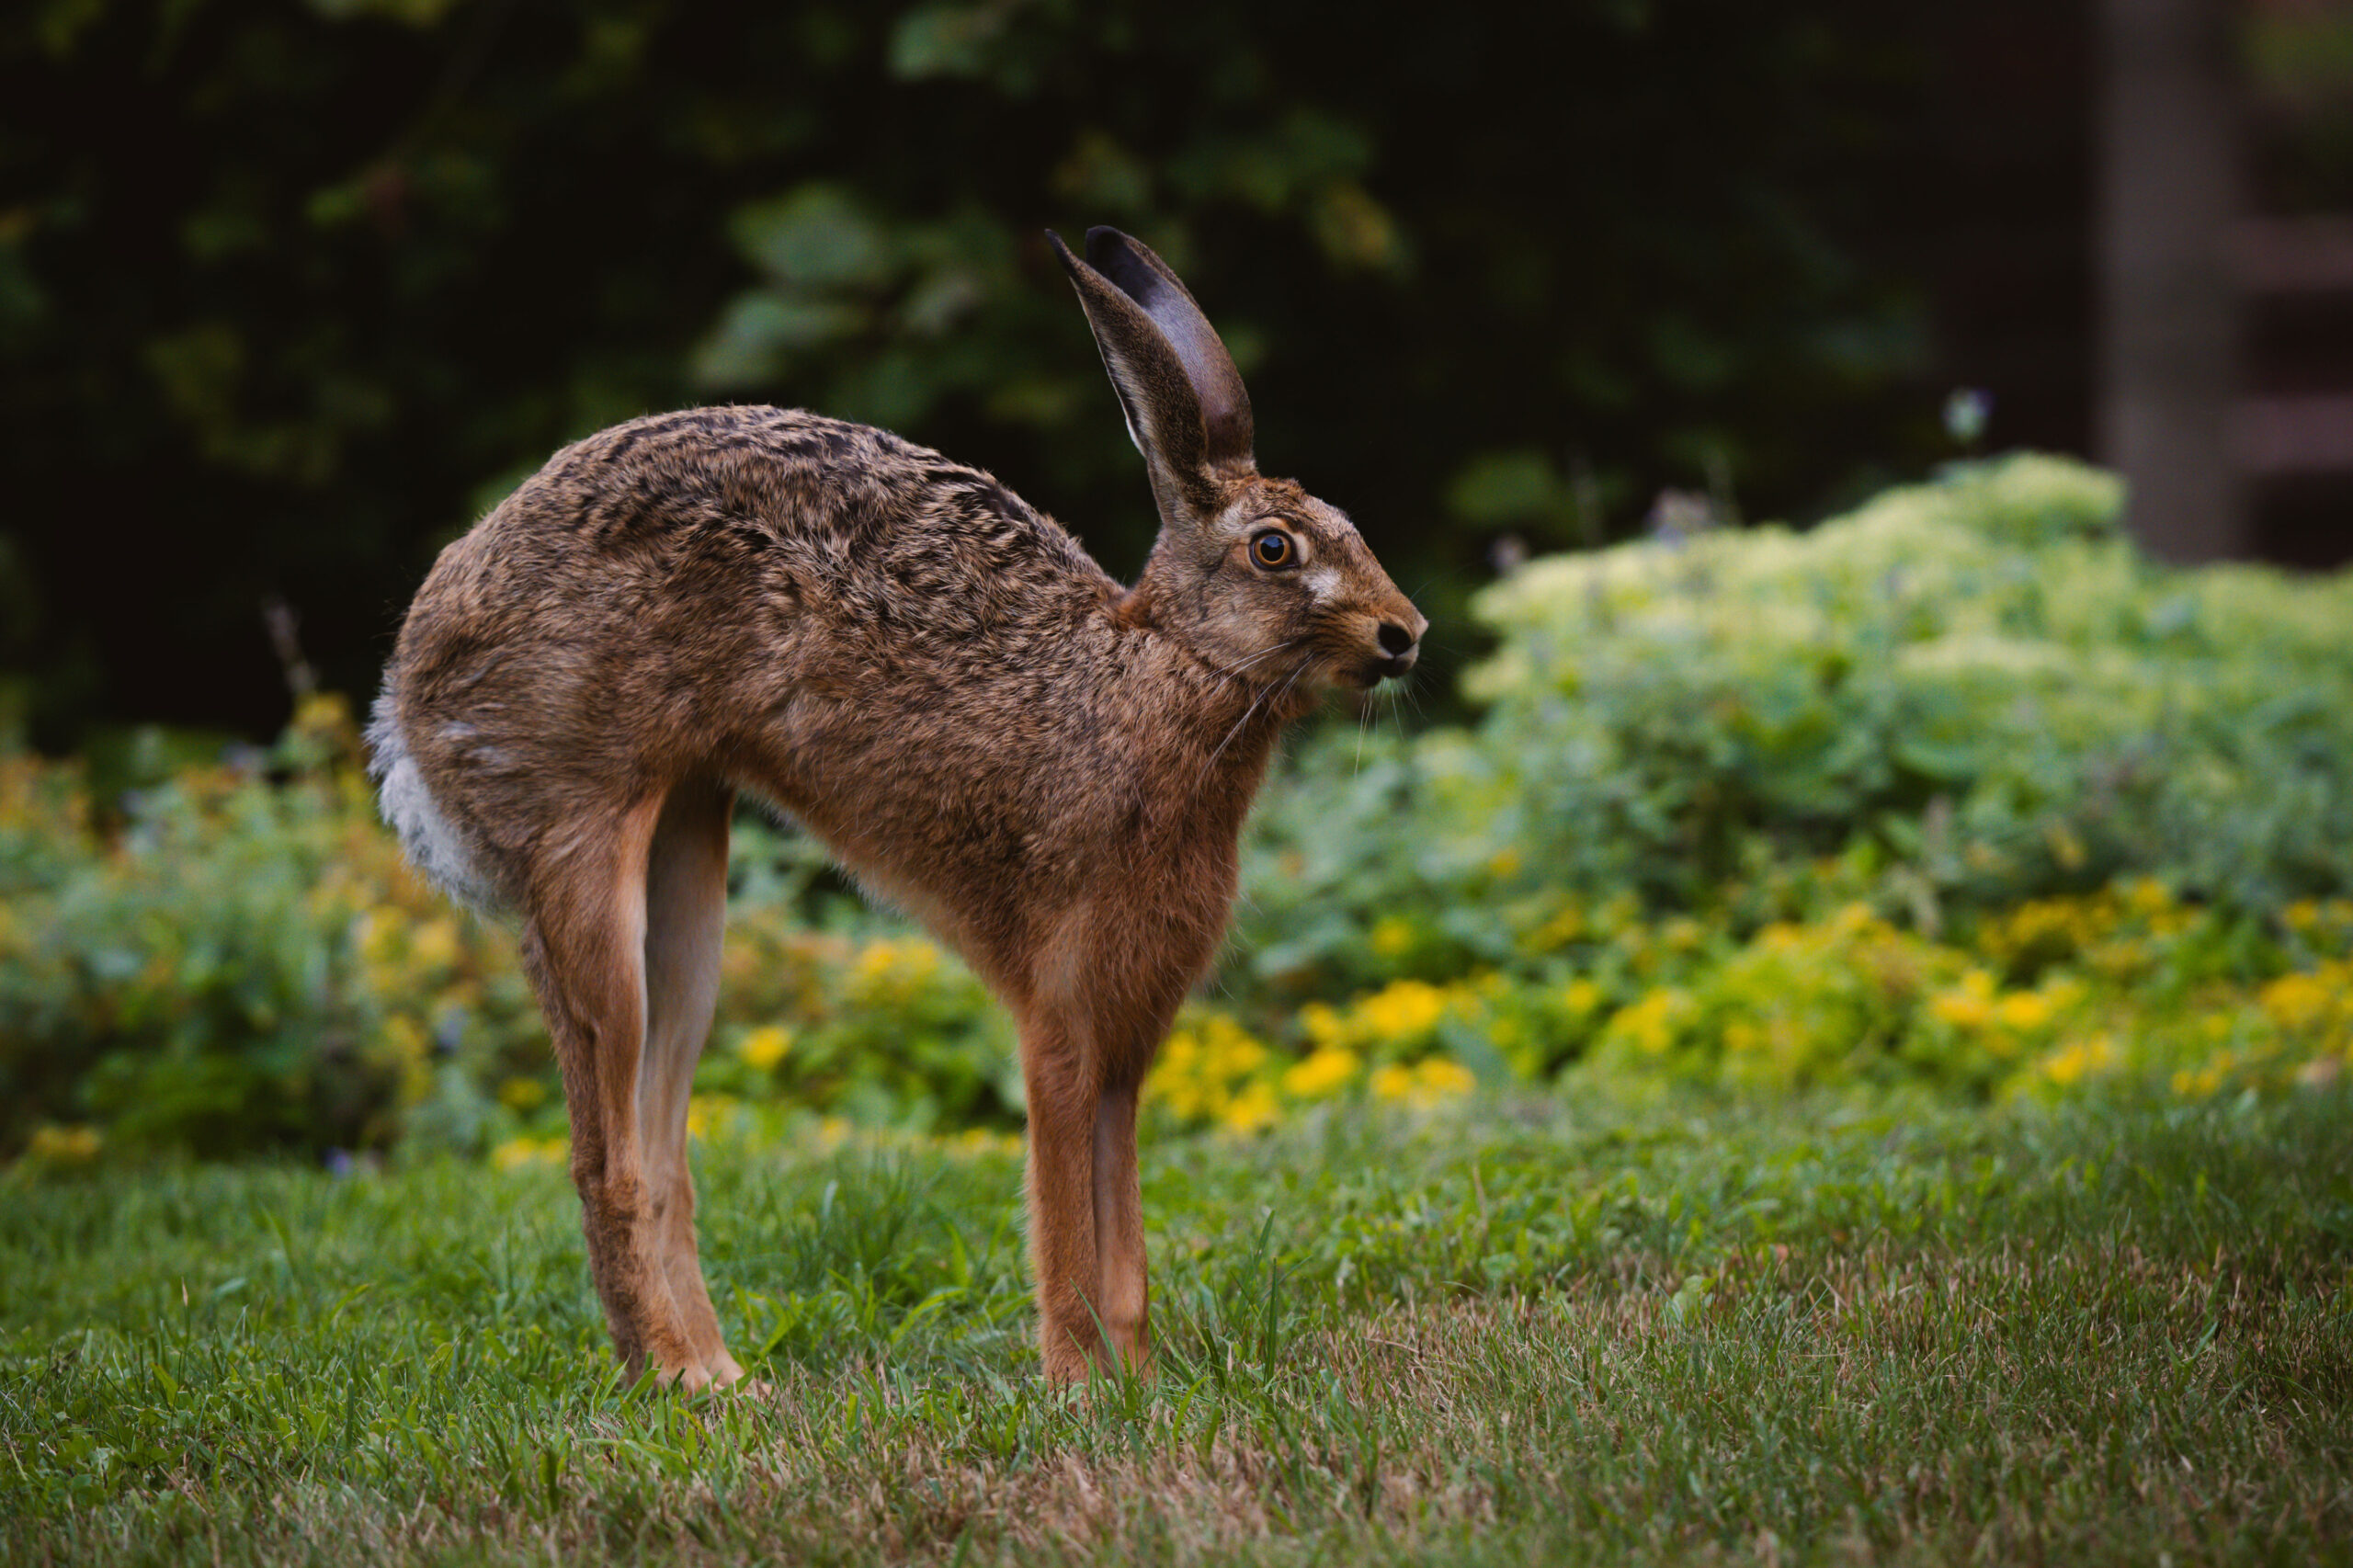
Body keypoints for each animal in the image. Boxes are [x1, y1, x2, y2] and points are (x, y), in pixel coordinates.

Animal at [366, 227, 1425, 1389]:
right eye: (1275, 548)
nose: (1405, 634)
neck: (1160, 665)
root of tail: (416, 684)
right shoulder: (1062, 1017)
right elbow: (1068, 1214)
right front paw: (1077, 1385)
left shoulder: (1125, 1042)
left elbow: (1126, 1240)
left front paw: (1138, 1379)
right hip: (582, 851)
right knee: (607, 1157)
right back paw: (681, 1380)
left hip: (686, 877)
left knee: (659, 1142)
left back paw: (723, 1378)